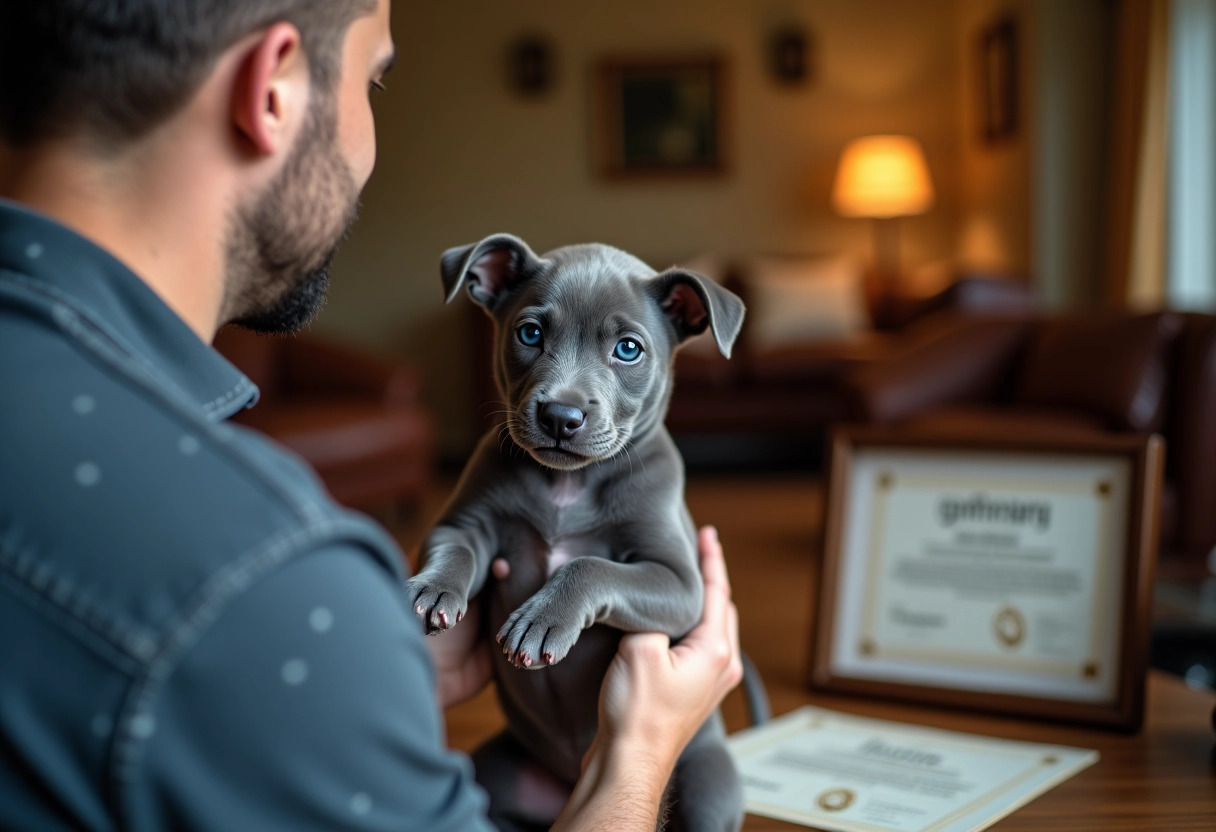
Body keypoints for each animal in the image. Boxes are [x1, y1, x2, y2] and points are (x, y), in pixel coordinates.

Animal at [408, 233, 744, 832]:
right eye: (530, 334)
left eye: (629, 350)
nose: (561, 416)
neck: (568, 485)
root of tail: (570, 782)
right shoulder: (467, 522)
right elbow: (456, 551)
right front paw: (433, 589)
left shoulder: (683, 585)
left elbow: (588, 565)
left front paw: (542, 620)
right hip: (497, 772)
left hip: (709, 783)